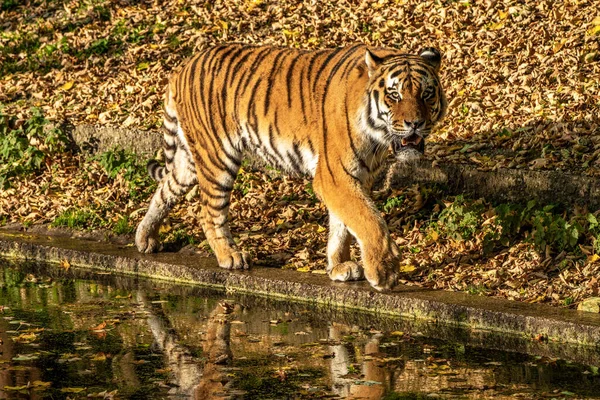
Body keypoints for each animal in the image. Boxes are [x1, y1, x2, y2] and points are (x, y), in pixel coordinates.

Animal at [136, 43, 446, 290]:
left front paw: (339, 267)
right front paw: (384, 271)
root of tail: (183, 65)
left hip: (189, 160)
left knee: (165, 188)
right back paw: (230, 256)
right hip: (218, 157)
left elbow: (343, 225)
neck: (377, 137)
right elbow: (368, 220)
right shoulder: (334, 176)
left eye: (427, 94)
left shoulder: (358, 176)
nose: (415, 123)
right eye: (395, 95)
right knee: (208, 211)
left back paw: (145, 238)